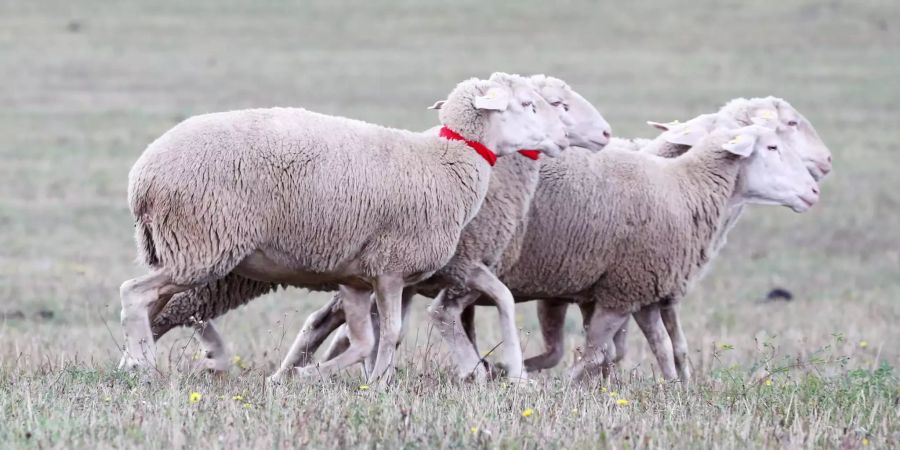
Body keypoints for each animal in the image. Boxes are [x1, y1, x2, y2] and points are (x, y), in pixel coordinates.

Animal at [149, 73, 612, 380]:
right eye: (546, 104)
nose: (606, 134)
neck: (448, 159)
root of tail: (145, 171)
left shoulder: (391, 274)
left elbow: (383, 332)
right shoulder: (444, 267)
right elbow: (478, 306)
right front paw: (498, 372)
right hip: (208, 250)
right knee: (168, 307)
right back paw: (160, 360)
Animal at [524, 96, 832, 378]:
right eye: (789, 125)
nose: (827, 161)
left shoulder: (657, 290)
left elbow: (670, 346)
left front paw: (677, 385)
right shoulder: (603, 284)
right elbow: (609, 349)